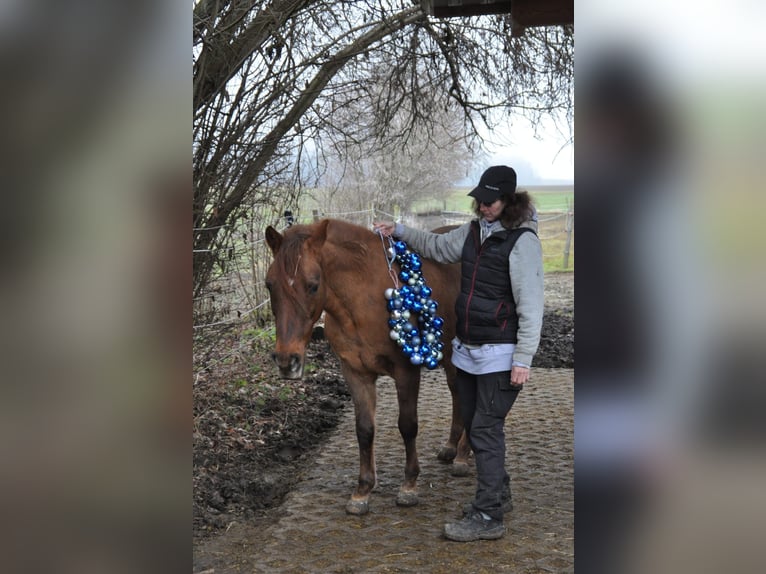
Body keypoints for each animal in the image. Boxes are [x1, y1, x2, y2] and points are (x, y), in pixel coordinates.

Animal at [264, 218, 471, 515]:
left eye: (313, 285)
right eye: (269, 285)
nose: (286, 360)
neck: (362, 300)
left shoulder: (406, 372)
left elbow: (407, 425)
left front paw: (409, 485)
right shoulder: (355, 373)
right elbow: (364, 429)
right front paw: (362, 490)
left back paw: (463, 456)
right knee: (458, 394)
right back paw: (453, 447)